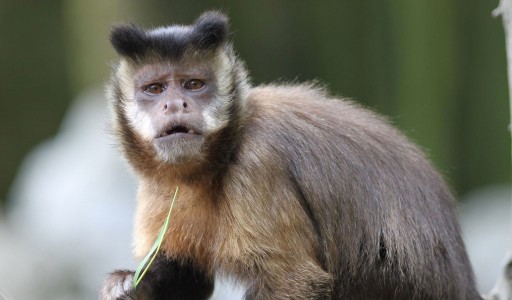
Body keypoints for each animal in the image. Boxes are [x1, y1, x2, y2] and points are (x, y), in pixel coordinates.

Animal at [98, 10, 482, 298]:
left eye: (193, 85)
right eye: (154, 88)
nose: (175, 104)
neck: (217, 160)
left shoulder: (258, 165)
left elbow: (292, 281)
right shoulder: (158, 185)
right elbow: (189, 277)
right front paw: (126, 286)